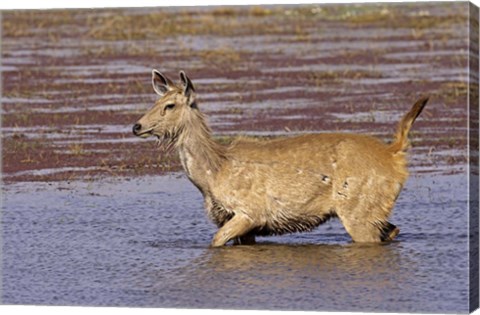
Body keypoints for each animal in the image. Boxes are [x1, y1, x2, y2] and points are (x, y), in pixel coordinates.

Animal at [133, 70, 430, 248]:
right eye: (153, 102)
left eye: (169, 105)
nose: (136, 126)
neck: (213, 175)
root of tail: (393, 154)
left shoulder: (249, 211)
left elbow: (215, 241)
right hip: (373, 208)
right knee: (393, 229)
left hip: (359, 208)